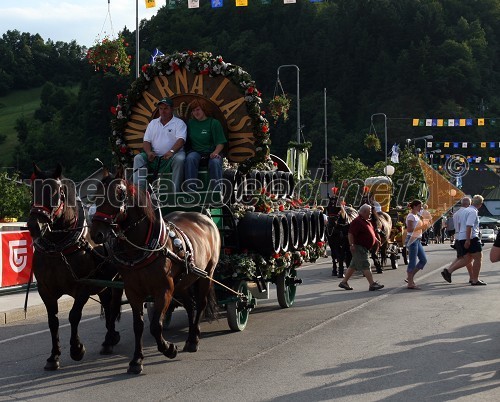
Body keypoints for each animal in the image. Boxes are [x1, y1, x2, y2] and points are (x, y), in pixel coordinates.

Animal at [26, 163, 123, 370]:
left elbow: (74, 315)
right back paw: (109, 339)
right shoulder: (45, 290)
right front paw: (54, 356)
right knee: (108, 304)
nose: (34, 225)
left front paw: (77, 349)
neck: (58, 248)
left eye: (55, 193)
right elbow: (53, 321)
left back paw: (109, 338)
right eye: (33, 191)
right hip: (104, 283)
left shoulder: (83, 286)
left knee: (112, 306)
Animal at [89, 166, 221, 374]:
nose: (96, 234)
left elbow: (155, 325)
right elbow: (138, 326)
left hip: (207, 274)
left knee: (200, 303)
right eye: (96, 196)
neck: (142, 248)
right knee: (190, 305)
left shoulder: (164, 290)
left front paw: (168, 349)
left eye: (119, 194)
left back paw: (193, 339)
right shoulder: (133, 291)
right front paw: (136, 360)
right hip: (183, 282)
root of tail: (205, 218)